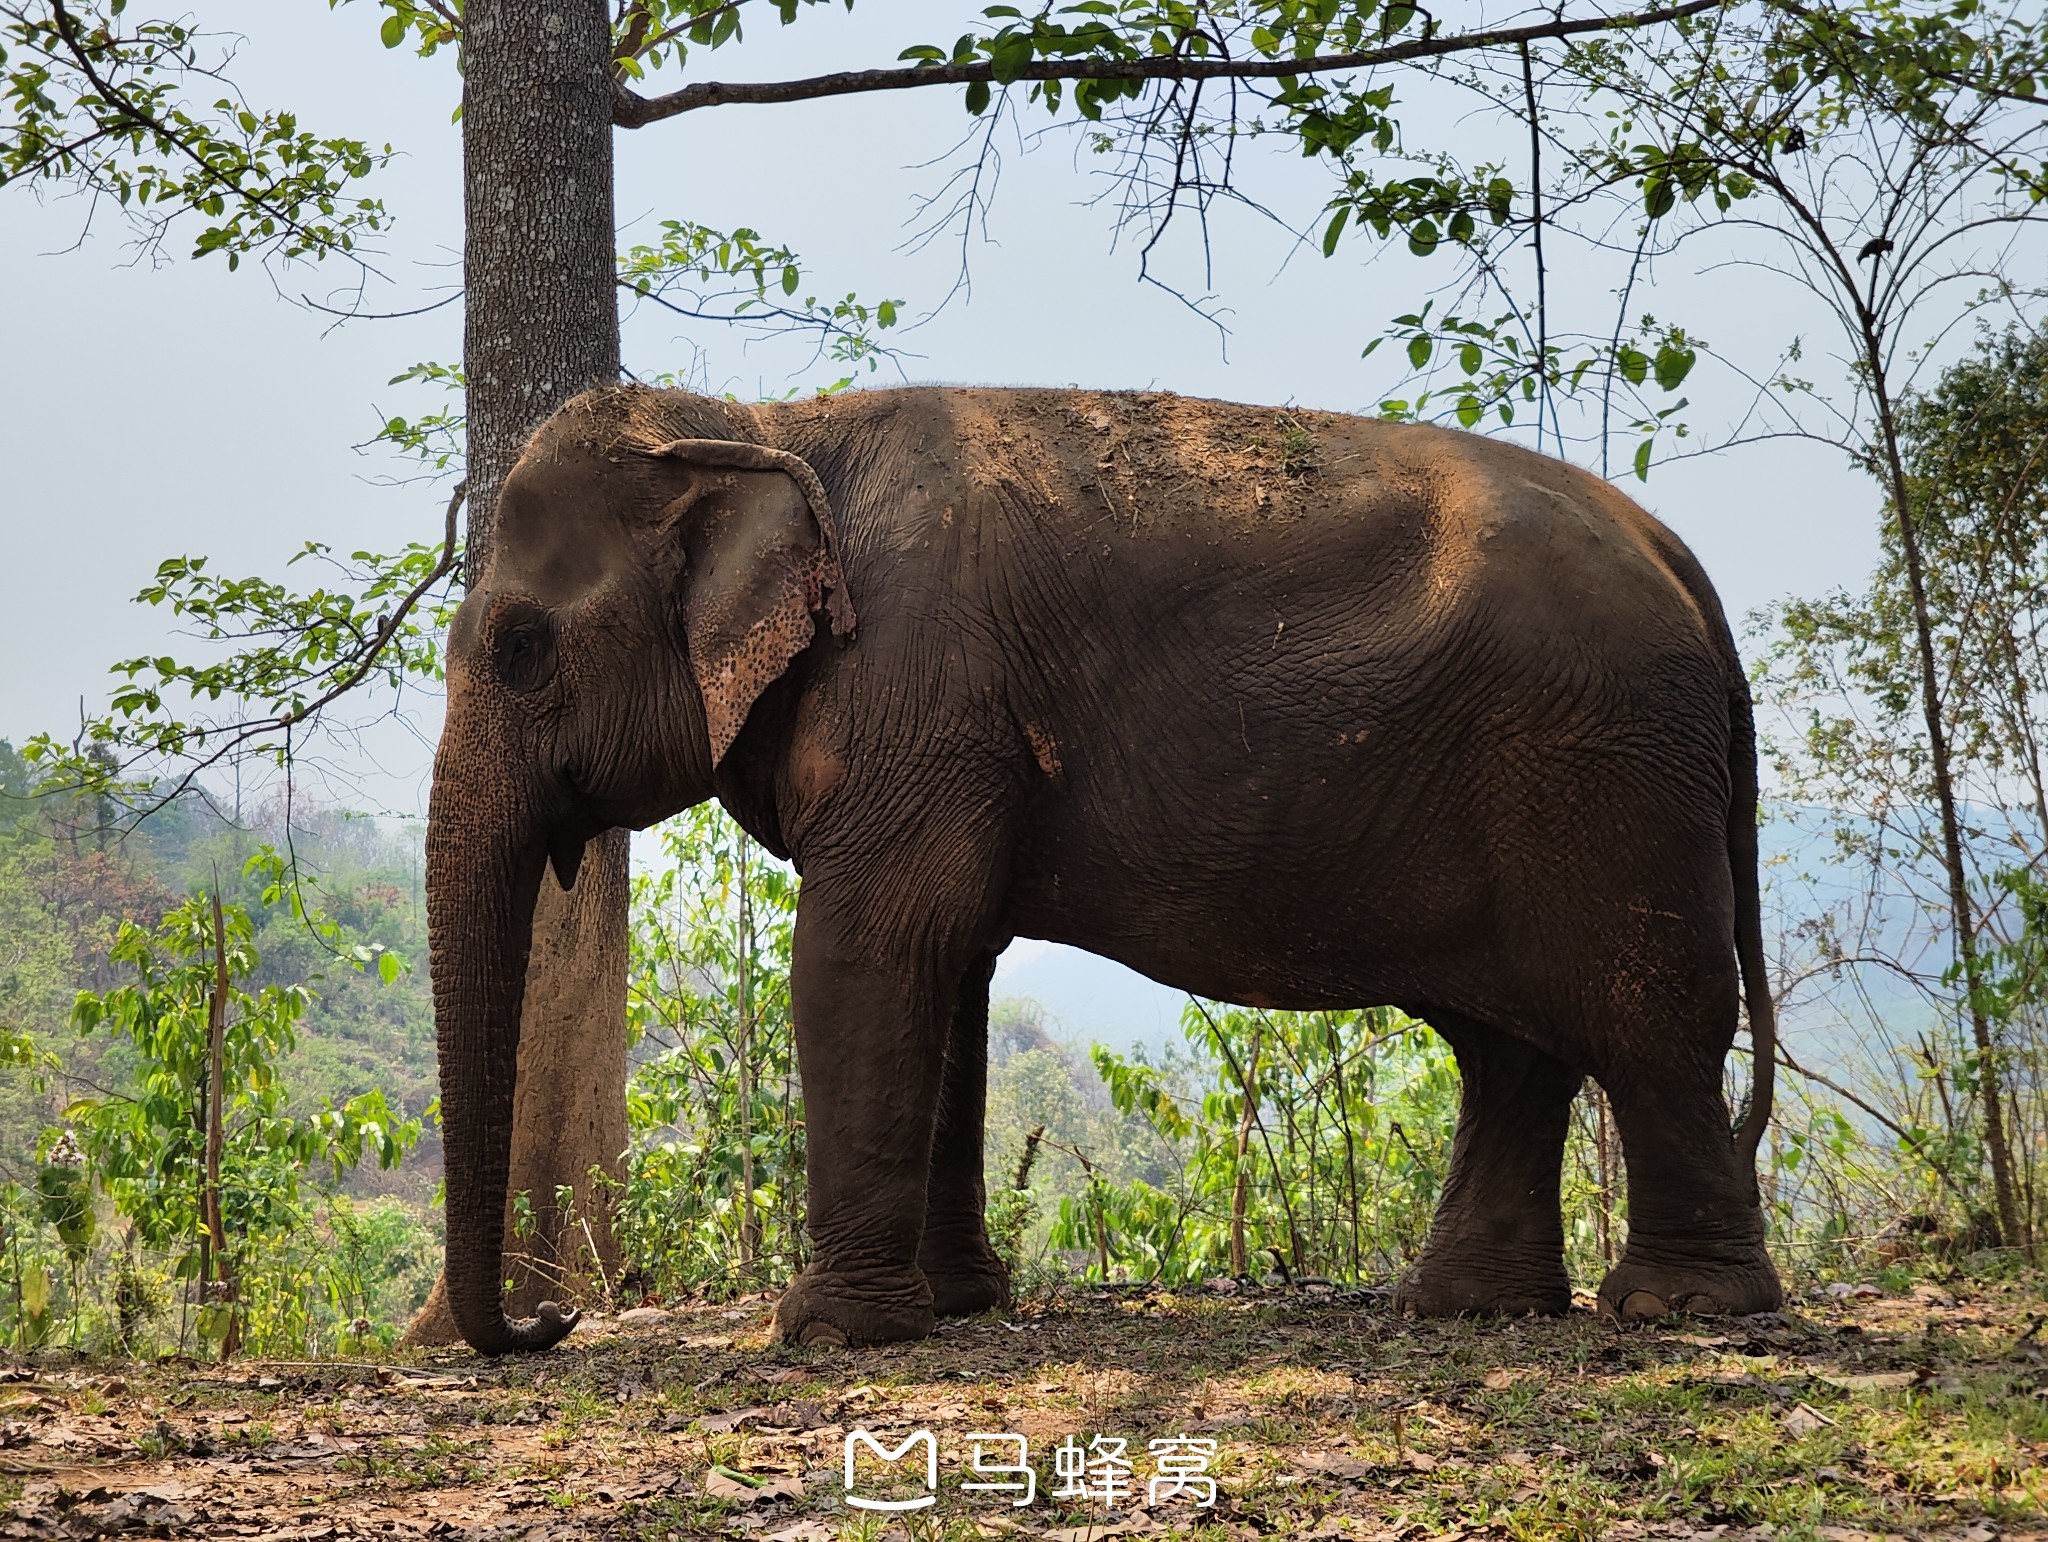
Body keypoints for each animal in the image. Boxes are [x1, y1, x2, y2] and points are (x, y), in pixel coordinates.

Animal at [428, 382, 1777, 1343]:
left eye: (517, 647)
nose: (550, 1323)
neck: (765, 426)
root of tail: (1680, 561)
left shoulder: (920, 692)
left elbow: (869, 953)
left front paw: (828, 1333)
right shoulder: (951, 735)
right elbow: (950, 973)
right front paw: (956, 1306)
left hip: (1609, 775)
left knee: (1649, 1023)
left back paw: (1681, 1309)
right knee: (1509, 1050)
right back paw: (1468, 1307)